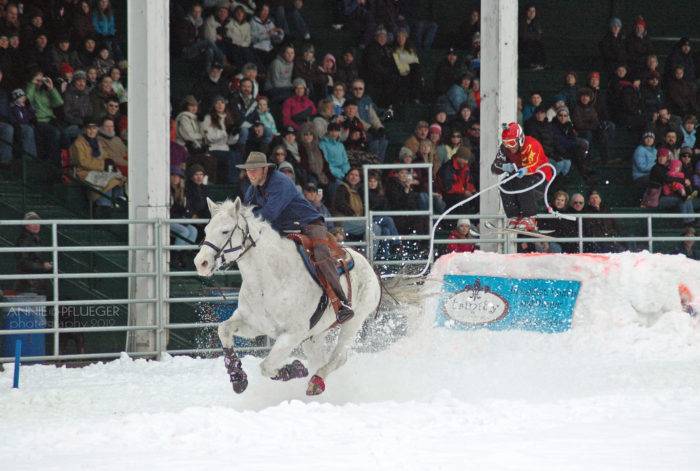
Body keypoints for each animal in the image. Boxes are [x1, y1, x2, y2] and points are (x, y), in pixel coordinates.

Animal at [193, 197, 382, 396]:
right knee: (320, 359)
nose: (201, 263)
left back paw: (316, 382)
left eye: (225, 231)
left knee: (338, 358)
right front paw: (238, 378)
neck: (268, 281)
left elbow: (267, 366)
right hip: (315, 335)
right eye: (206, 230)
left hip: (353, 322)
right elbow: (223, 329)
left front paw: (296, 368)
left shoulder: (292, 334)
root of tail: (366, 263)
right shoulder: (254, 325)